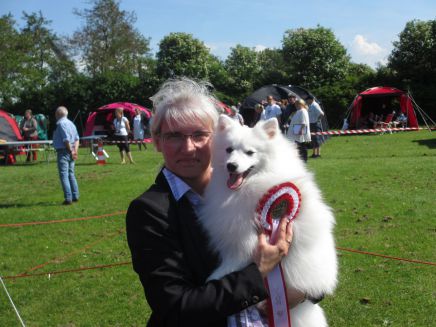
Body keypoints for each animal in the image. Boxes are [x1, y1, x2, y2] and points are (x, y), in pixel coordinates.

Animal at [199, 116, 338, 327]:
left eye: (250, 152)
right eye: (229, 149)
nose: (231, 165)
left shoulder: (244, 233)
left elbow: (238, 256)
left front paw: (217, 275)